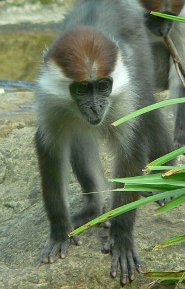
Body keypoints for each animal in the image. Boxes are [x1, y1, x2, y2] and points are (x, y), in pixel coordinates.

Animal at [34, 0, 173, 284]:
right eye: (82, 89)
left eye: (102, 86)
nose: (96, 108)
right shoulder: (50, 102)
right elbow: (51, 150)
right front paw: (59, 231)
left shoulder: (123, 95)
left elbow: (131, 150)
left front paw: (121, 237)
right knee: (80, 137)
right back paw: (94, 207)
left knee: (149, 107)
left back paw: (166, 179)